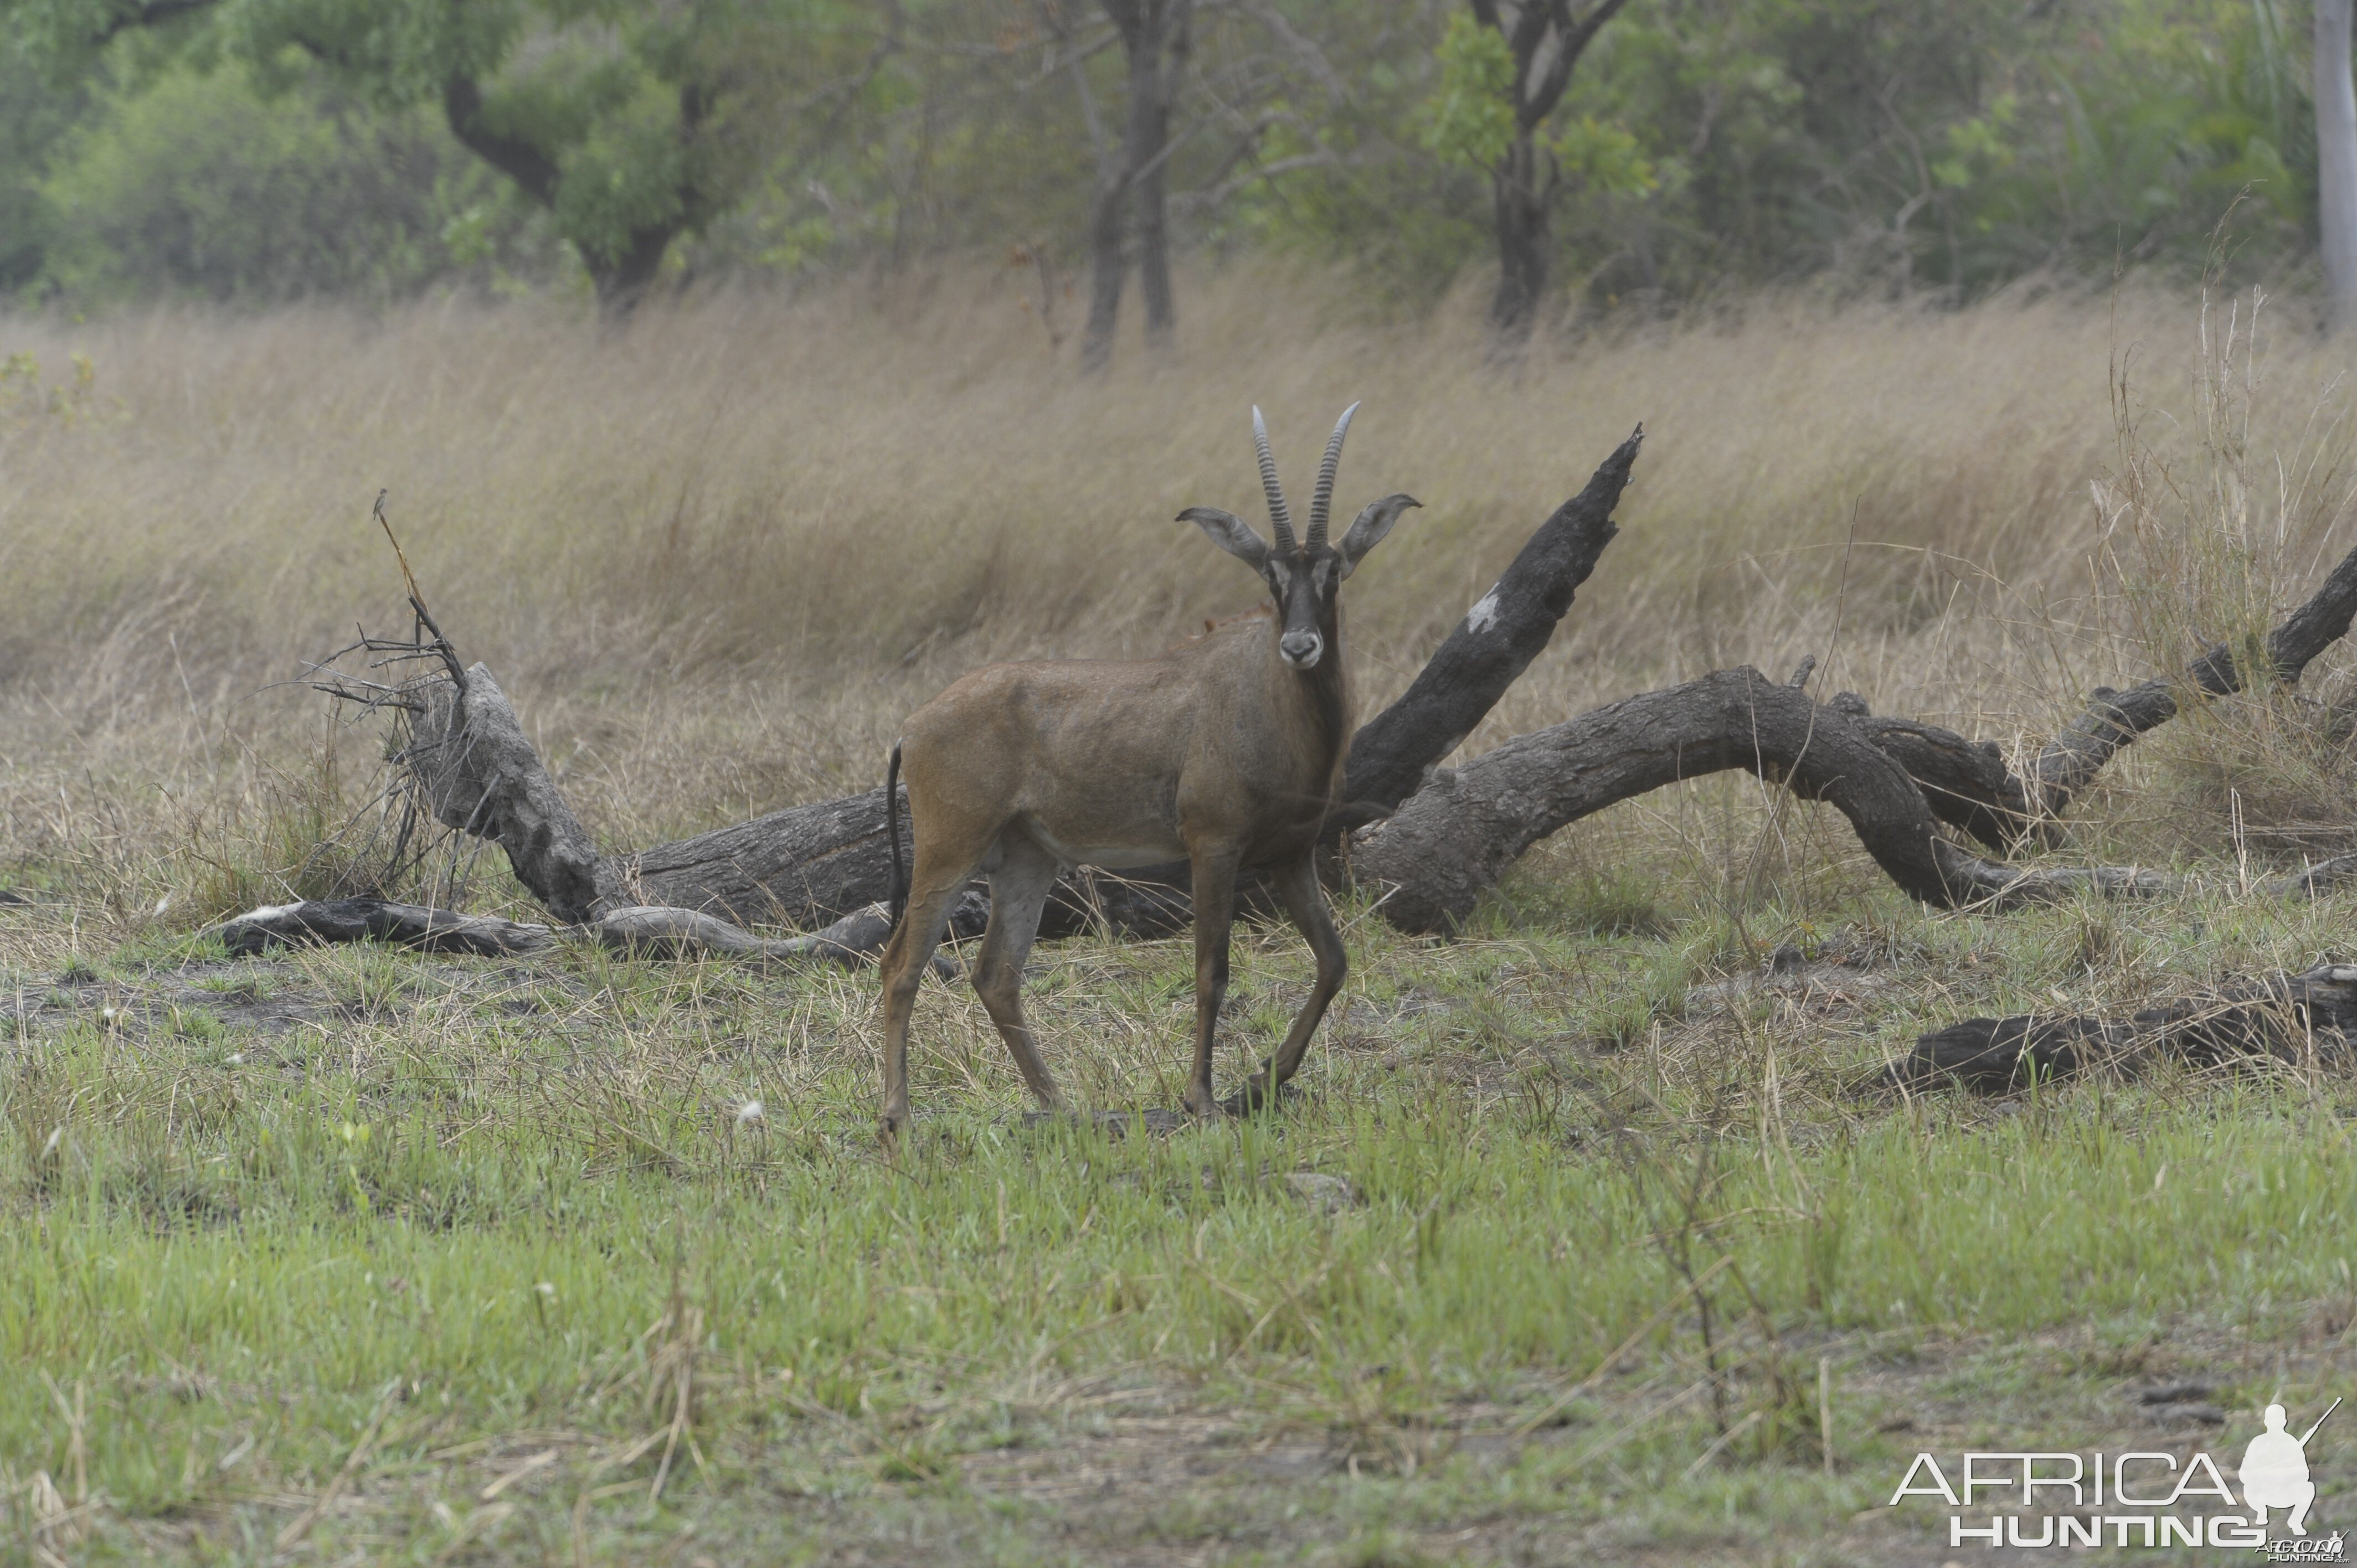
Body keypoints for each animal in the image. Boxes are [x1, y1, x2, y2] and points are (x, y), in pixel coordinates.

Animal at [872, 405, 1404, 1136]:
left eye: (1333, 570)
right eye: (1269, 574)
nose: (1300, 646)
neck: (1262, 693)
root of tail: (913, 724)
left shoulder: (1290, 855)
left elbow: (1333, 962)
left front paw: (1259, 1084)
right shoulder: (1213, 847)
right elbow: (1212, 970)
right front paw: (1202, 1099)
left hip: (1027, 860)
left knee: (995, 975)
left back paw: (1060, 1106)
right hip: (951, 851)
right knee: (902, 963)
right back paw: (898, 1118)